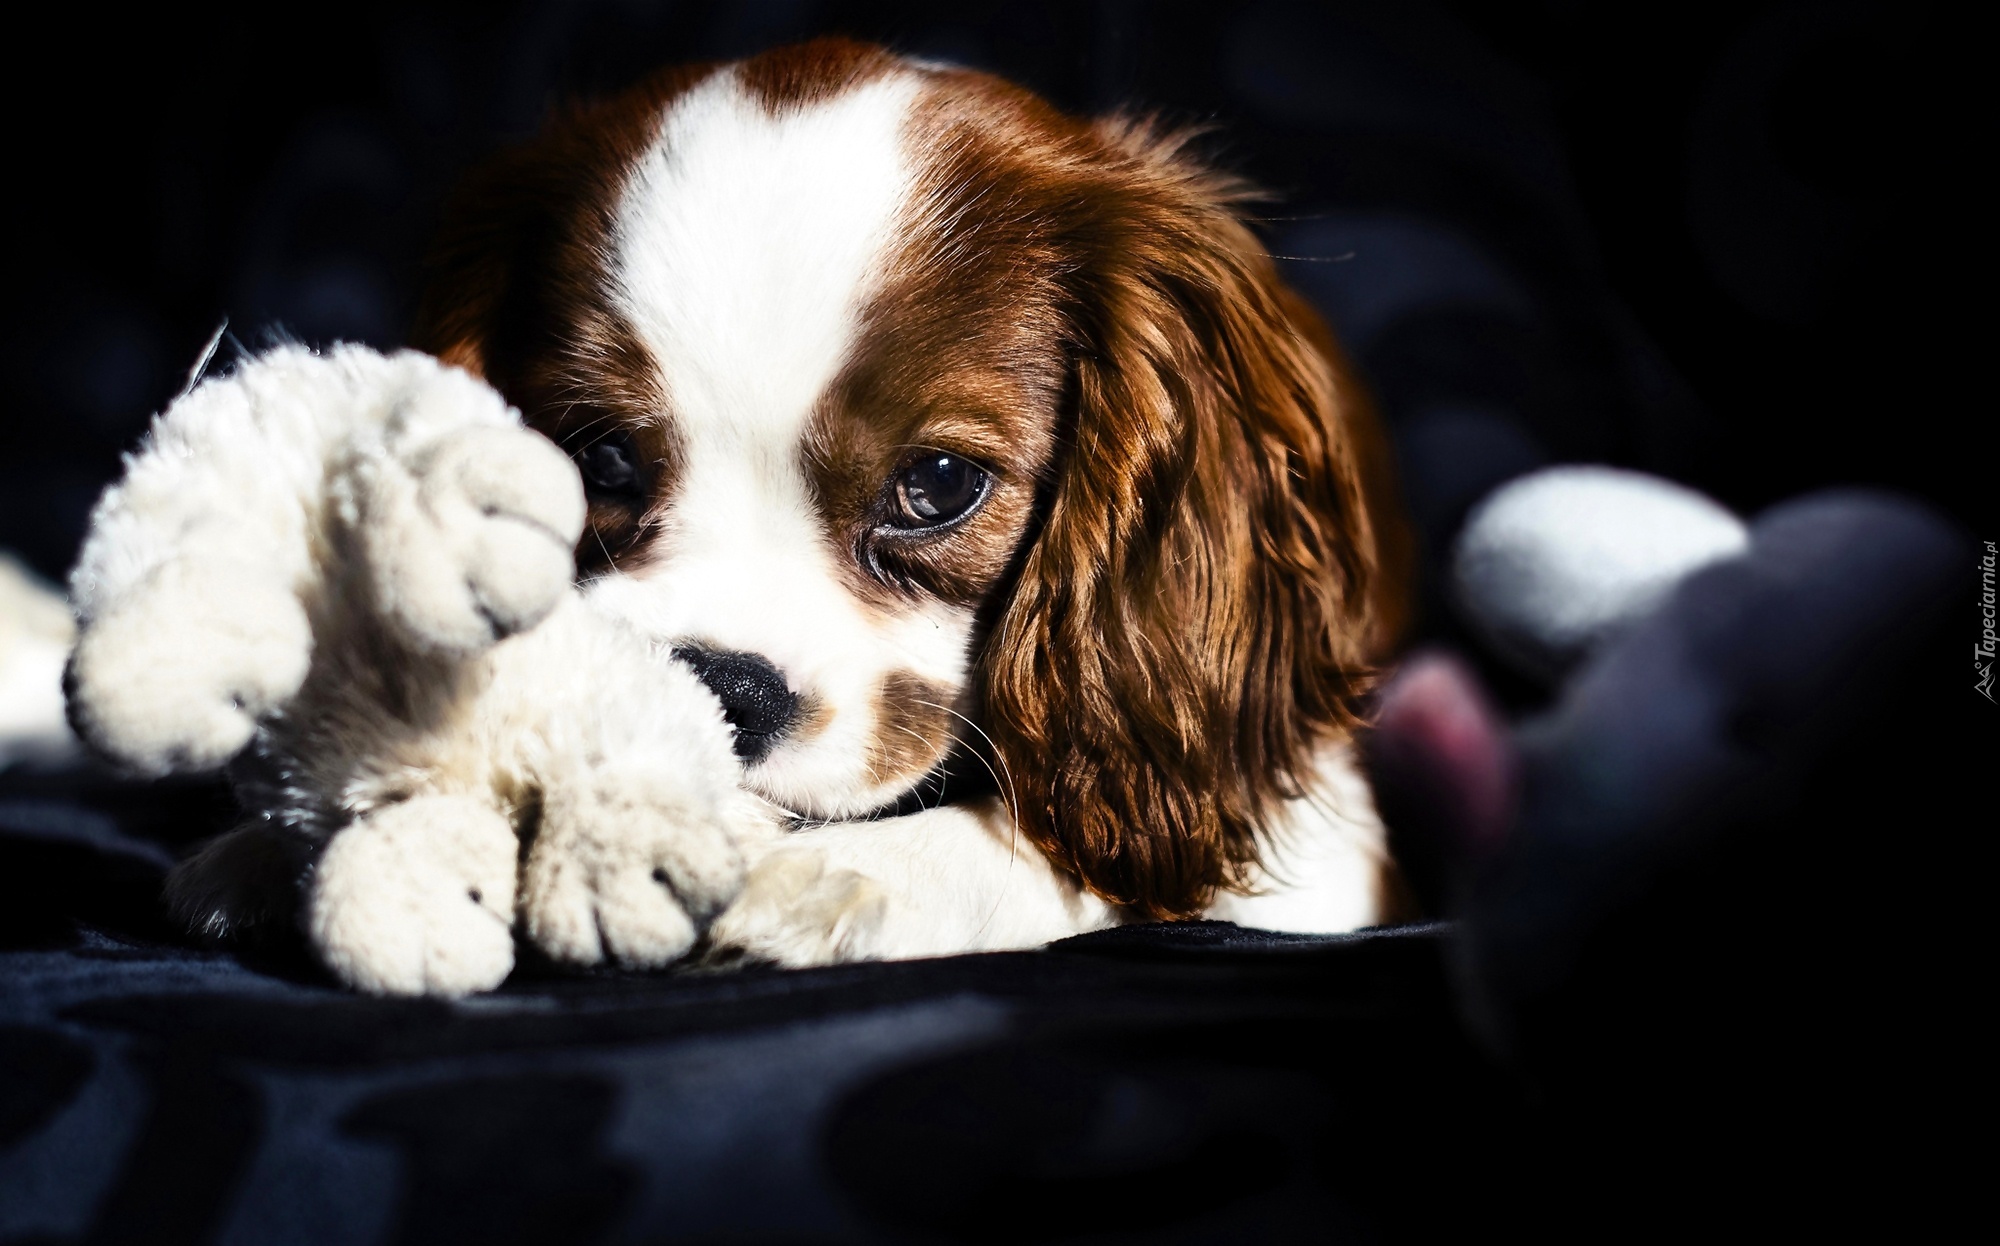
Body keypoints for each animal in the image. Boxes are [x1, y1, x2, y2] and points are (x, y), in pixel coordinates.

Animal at [62, 34, 1408, 1000]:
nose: (718, 690)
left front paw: (839, 872)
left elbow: (1085, 851)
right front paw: (283, 844)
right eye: (596, 455)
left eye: (937, 485)